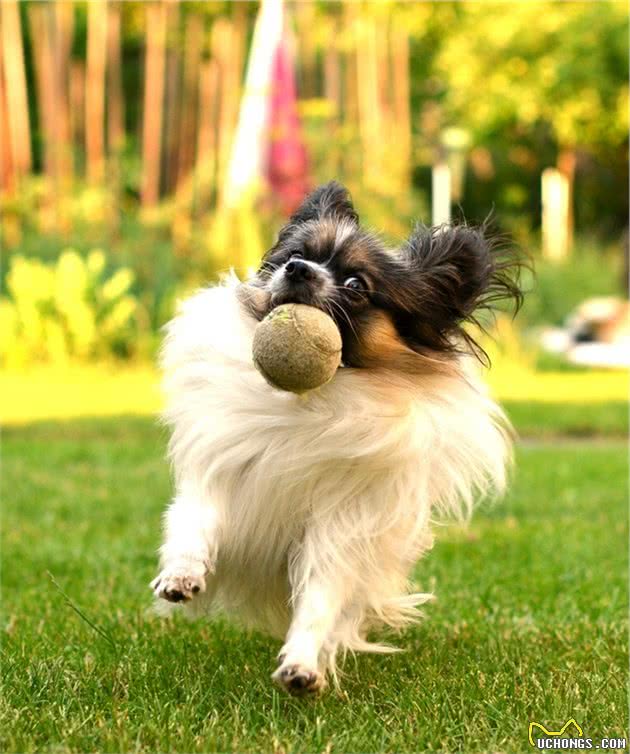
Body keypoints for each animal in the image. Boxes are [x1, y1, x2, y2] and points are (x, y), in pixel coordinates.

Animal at [152, 181, 524, 692]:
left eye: (355, 285)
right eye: (295, 255)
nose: (296, 269)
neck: (308, 400)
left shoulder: (341, 527)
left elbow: (320, 598)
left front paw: (303, 664)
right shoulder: (221, 478)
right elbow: (194, 526)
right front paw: (180, 576)